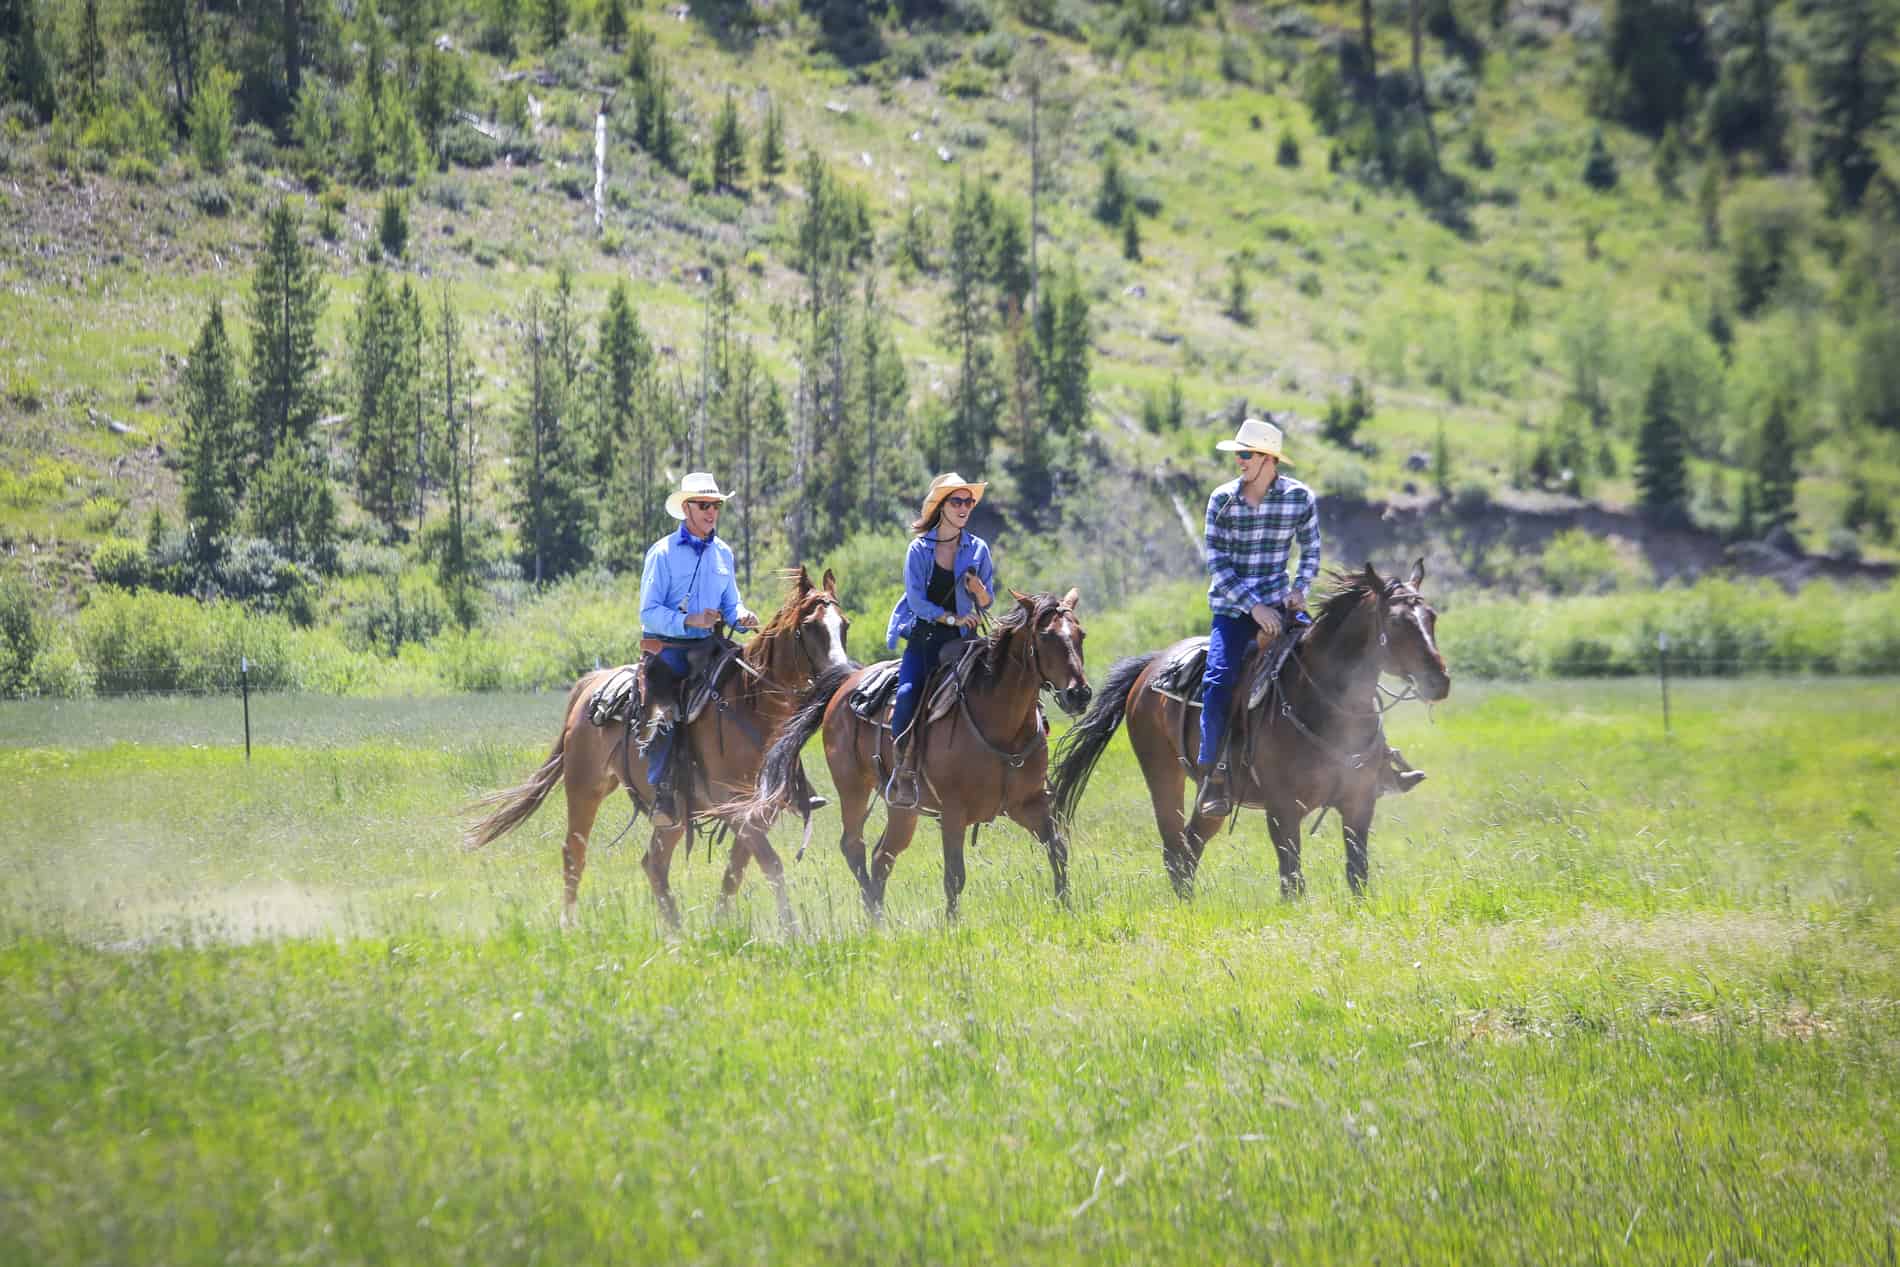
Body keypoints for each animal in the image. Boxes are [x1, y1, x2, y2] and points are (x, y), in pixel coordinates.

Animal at [463, 566, 851, 930]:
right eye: (811, 627)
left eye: (844, 625)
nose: (843, 675)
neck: (749, 707)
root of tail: (592, 683)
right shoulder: (734, 806)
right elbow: (771, 864)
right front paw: (793, 932)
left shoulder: (759, 812)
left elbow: (736, 871)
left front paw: (719, 925)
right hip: (585, 788)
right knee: (574, 852)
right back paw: (569, 925)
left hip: (673, 815)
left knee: (654, 864)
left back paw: (677, 932)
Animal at [741, 588, 1102, 926]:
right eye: (1047, 636)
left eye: (1081, 634)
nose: (1079, 694)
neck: (1001, 725)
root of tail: (847, 682)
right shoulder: (954, 814)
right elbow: (954, 876)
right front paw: (953, 927)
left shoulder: (1029, 804)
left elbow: (1058, 849)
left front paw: (1066, 908)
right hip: (852, 788)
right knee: (854, 847)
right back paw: (875, 917)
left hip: (902, 808)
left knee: (882, 855)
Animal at [1048, 562, 1444, 900]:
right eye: (1396, 622)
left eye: (1431, 617)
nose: (1439, 681)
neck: (1322, 702)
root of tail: (1150, 666)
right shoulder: (1282, 809)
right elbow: (1292, 880)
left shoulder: (1359, 802)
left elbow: (1356, 873)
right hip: (1163, 777)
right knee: (1174, 851)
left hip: (1211, 804)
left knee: (1190, 847)